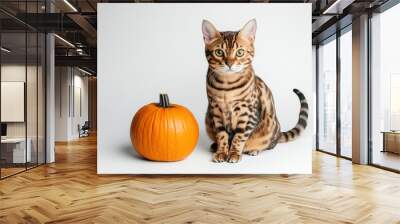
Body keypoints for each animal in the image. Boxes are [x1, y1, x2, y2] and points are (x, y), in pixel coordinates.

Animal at [203, 19, 310, 163]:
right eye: (219, 52)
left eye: (240, 52)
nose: (229, 64)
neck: (227, 86)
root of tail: (278, 133)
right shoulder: (215, 110)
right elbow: (222, 135)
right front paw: (221, 152)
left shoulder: (248, 112)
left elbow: (239, 137)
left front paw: (234, 154)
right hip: (208, 118)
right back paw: (214, 146)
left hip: (269, 129)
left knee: (270, 145)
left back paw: (254, 150)